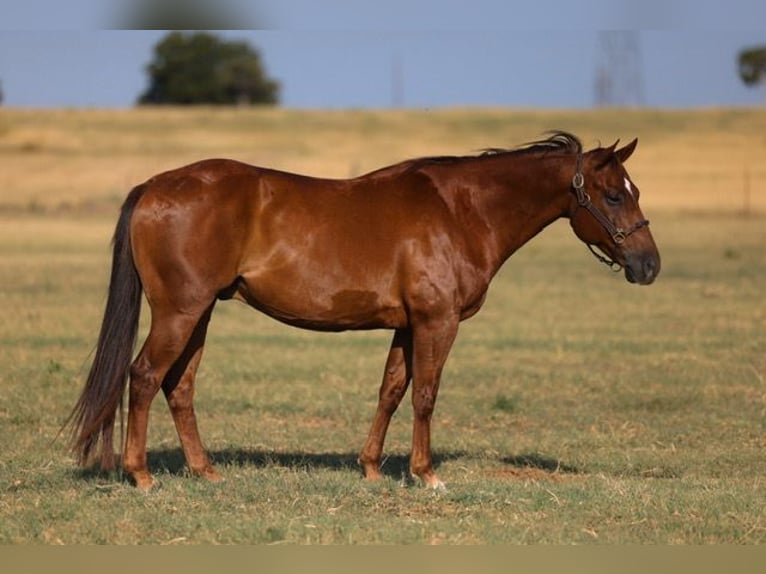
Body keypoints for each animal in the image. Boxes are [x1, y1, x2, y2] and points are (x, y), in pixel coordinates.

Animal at [67, 131, 660, 491]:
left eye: (633, 190)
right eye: (613, 195)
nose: (649, 265)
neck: (459, 211)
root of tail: (154, 186)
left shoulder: (407, 326)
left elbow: (391, 391)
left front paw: (372, 468)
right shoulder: (437, 322)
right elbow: (425, 396)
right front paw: (426, 474)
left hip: (200, 312)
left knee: (179, 386)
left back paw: (206, 471)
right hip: (180, 312)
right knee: (145, 377)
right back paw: (142, 476)